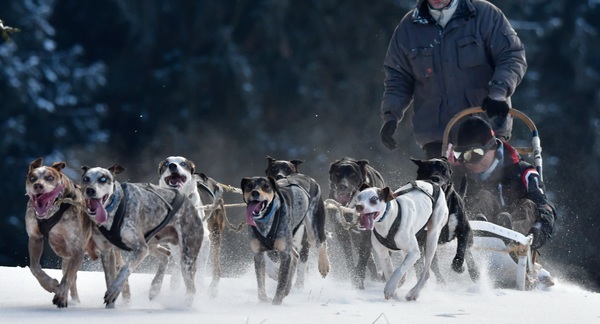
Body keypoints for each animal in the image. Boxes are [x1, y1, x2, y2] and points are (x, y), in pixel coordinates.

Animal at [25, 158, 92, 308]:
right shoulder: (35, 238)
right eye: (32, 178)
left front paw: (60, 296)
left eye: (50, 178)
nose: (38, 185)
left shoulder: (77, 249)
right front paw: (50, 285)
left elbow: (67, 279)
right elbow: (35, 268)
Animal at [241, 175, 330, 304]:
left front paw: (276, 302)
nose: (255, 192)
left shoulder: (284, 253)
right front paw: (263, 299)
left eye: (266, 186)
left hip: (313, 231)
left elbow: (281, 282)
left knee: (322, 242)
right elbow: (261, 281)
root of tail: (307, 177)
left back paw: (323, 265)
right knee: (295, 256)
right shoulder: (259, 254)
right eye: (249, 185)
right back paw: (287, 288)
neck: (266, 219)